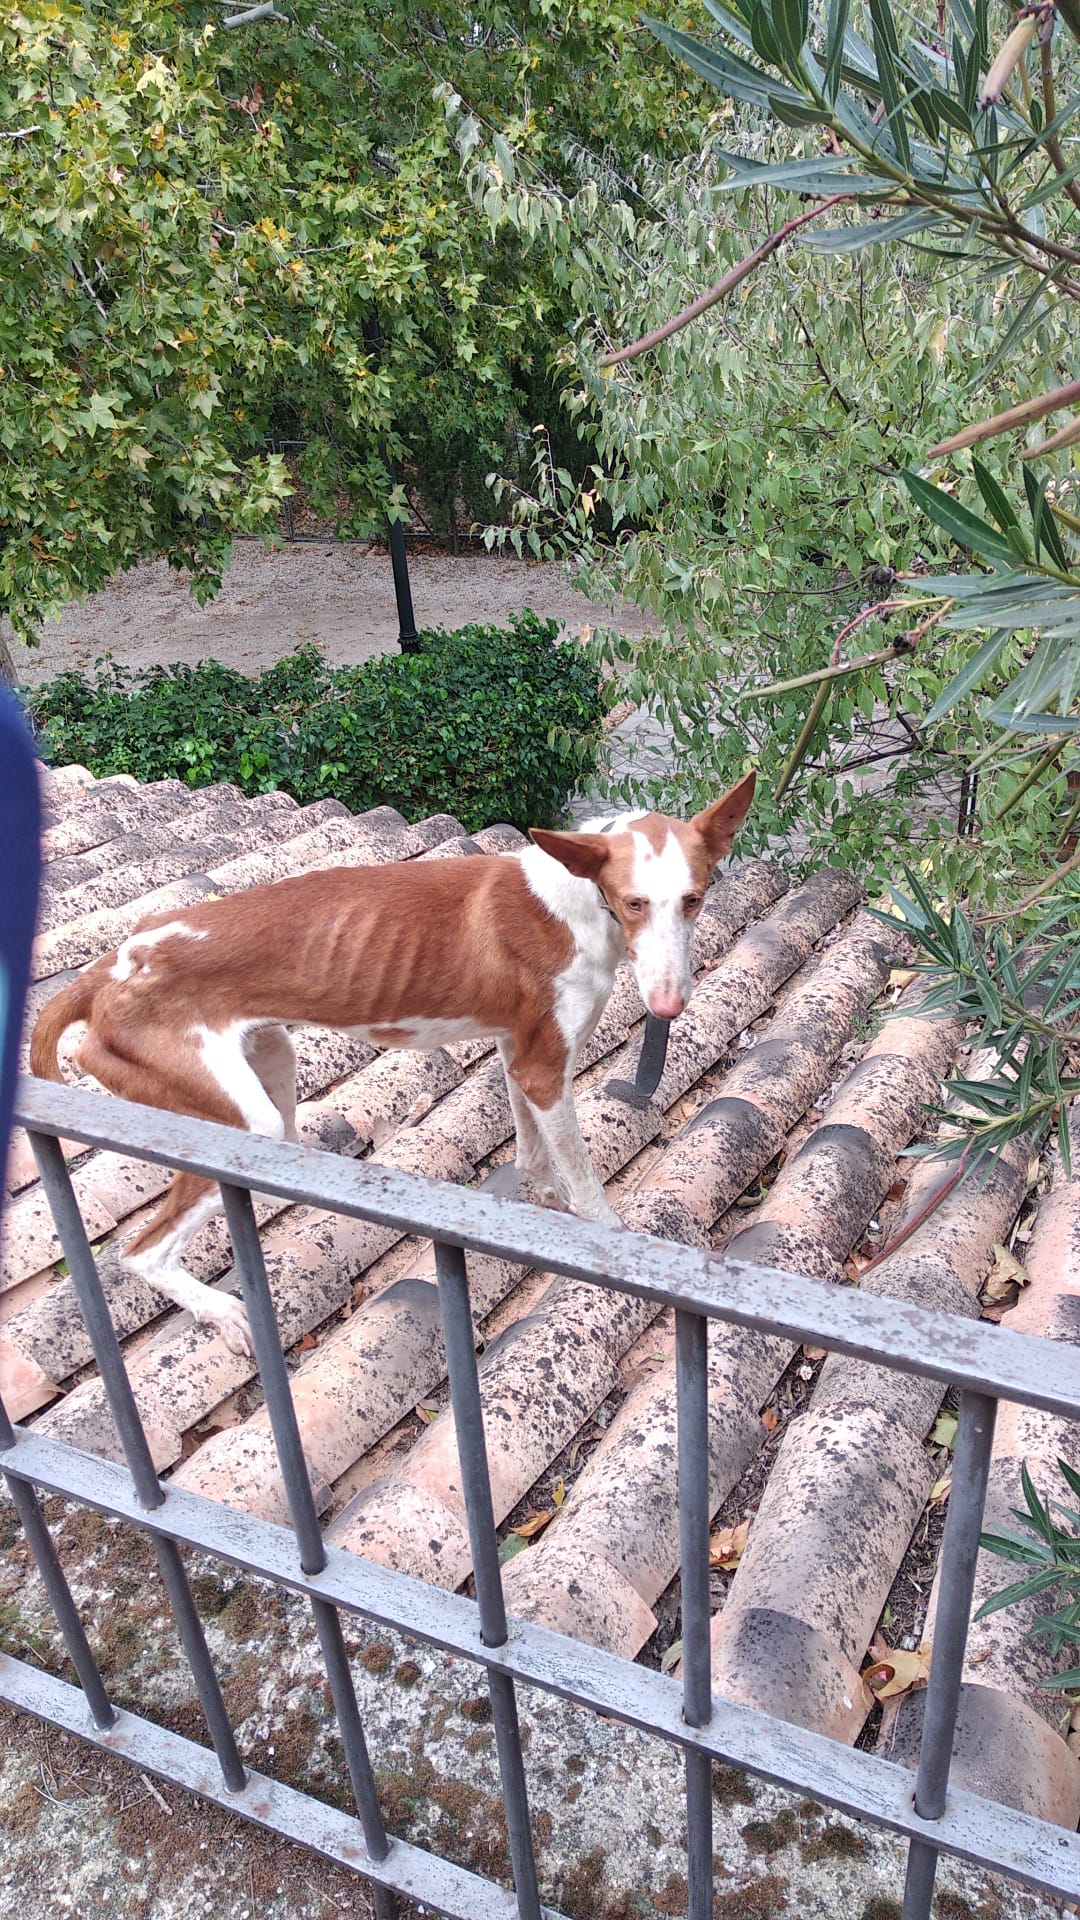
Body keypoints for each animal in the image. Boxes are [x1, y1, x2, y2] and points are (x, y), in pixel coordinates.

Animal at [29, 768, 753, 1351]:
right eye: (634, 903)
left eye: (694, 900)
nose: (668, 1005)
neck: (574, 897)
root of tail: (107, 969)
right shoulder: (547, 1067)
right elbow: (586, 1182)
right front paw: (614, 1244)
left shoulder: (518, 1050)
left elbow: (533, 1152)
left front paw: (541, 1199)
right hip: (237, 1119)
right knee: (140, 1254)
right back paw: (218, 1311)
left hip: (272, 1064)